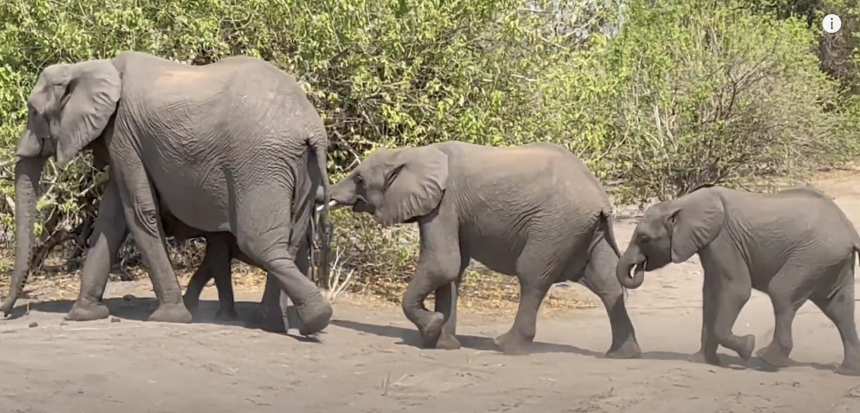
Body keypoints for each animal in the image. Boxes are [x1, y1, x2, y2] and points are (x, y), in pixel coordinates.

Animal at [5, 51, 334, 336]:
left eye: (34, 112)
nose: (5, 312)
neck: (91, 67)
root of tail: (312, 128)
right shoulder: (123, 140)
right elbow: (112, 219)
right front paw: (84, 315)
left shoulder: (124, 133)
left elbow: (139, 212)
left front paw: (170, 316)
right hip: (300, 167)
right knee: (290, 242)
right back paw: (277, 323)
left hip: (260, 164)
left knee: (261, 244)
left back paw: (313, 319)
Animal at [326, 139, 640, 358]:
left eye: (359, 180)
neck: (414, 153)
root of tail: (602, 198)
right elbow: (453, 270)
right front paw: (443, 344)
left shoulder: (444, 204)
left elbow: (443, 263)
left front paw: (431, 329)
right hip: (586, 230)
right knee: (607, 282)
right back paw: (621, 354)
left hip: (556, 225)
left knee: (532, 275)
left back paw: (507, 346)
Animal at [616, 185, 860, 374]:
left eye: (644, 239)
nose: (639, 266)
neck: (680, 204)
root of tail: (850, 230)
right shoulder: (710, 245)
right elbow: (711, 294)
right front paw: (702, 361)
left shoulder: (723, 240)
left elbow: (736, 290)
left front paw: (748, 346)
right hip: (829, 260)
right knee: (839, 308)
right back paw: (847, 371)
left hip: (813, 255)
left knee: (781, 291)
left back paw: (766, 359)